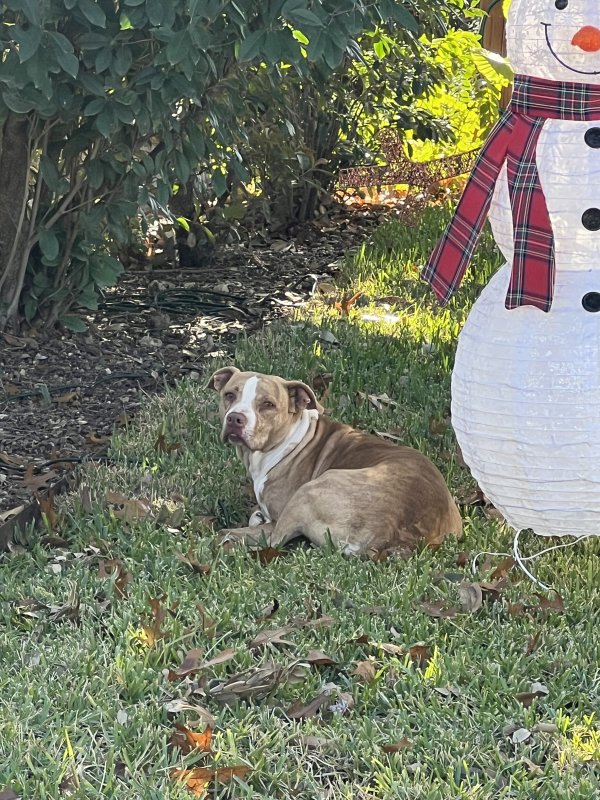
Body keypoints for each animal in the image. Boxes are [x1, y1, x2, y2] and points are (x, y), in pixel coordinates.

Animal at [209, 368, 462, 556]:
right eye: (229, 395)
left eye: (268, 404)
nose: (235, 418)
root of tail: (392, 534)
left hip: (312, 489)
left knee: (269, 539)